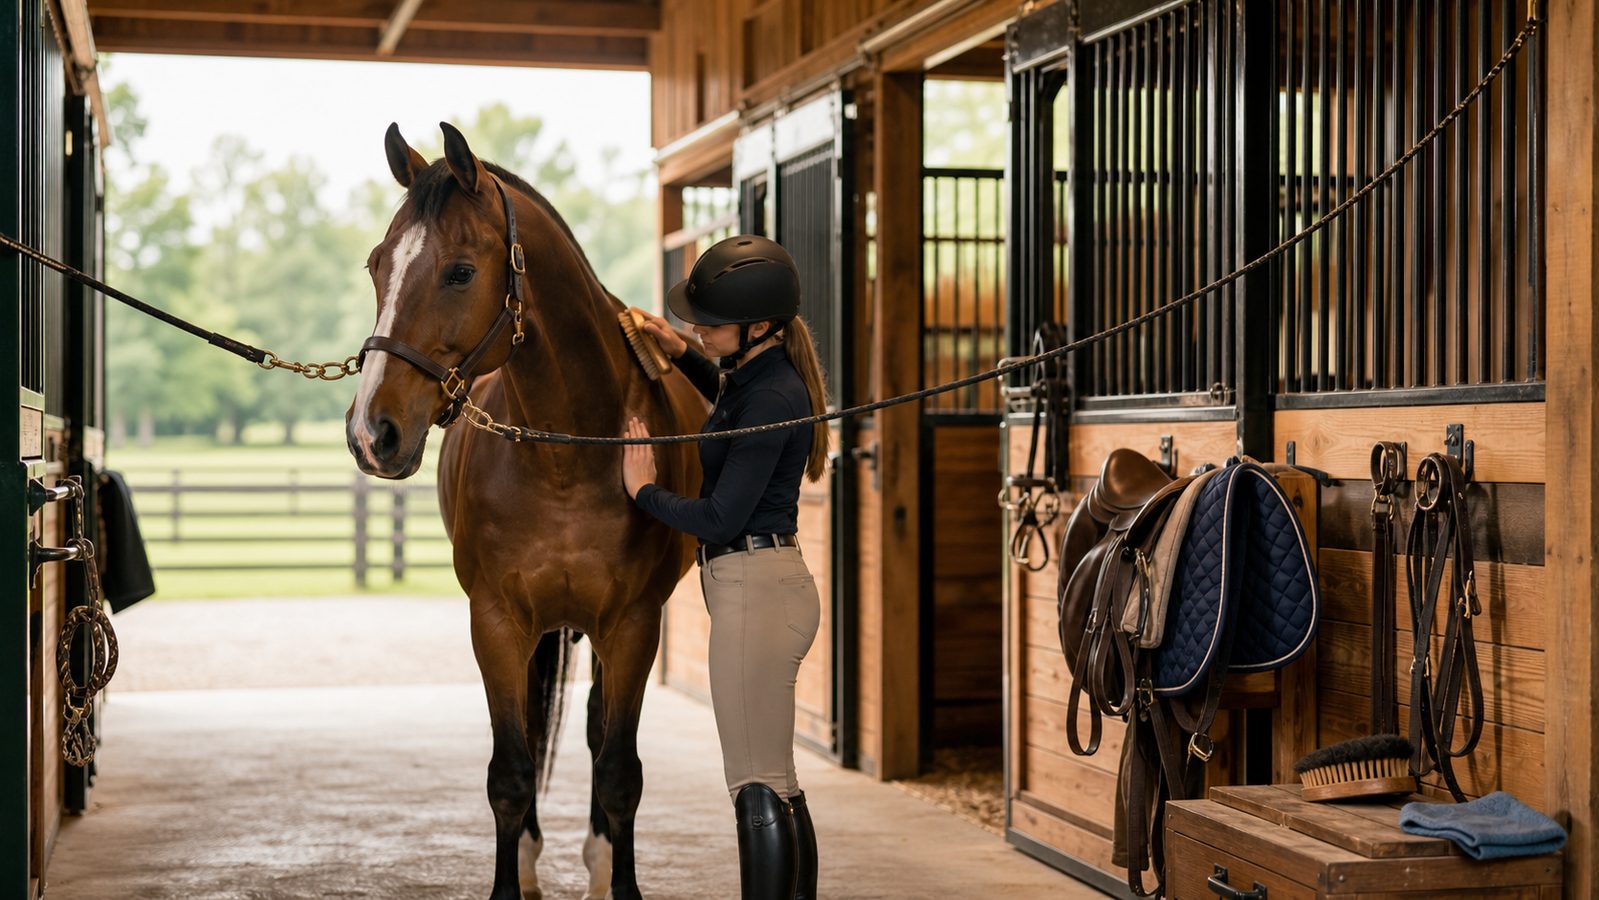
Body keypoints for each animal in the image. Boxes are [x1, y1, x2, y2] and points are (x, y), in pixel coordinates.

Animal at [345, 121, 708, 900]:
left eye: (458, 272)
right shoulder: (497, 621)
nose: (371, 433)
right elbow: (510, 774)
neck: (566, 452)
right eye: (377, 265)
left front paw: (619, 880)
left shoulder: (633, 624)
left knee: (598, 735)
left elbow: (618, 772)